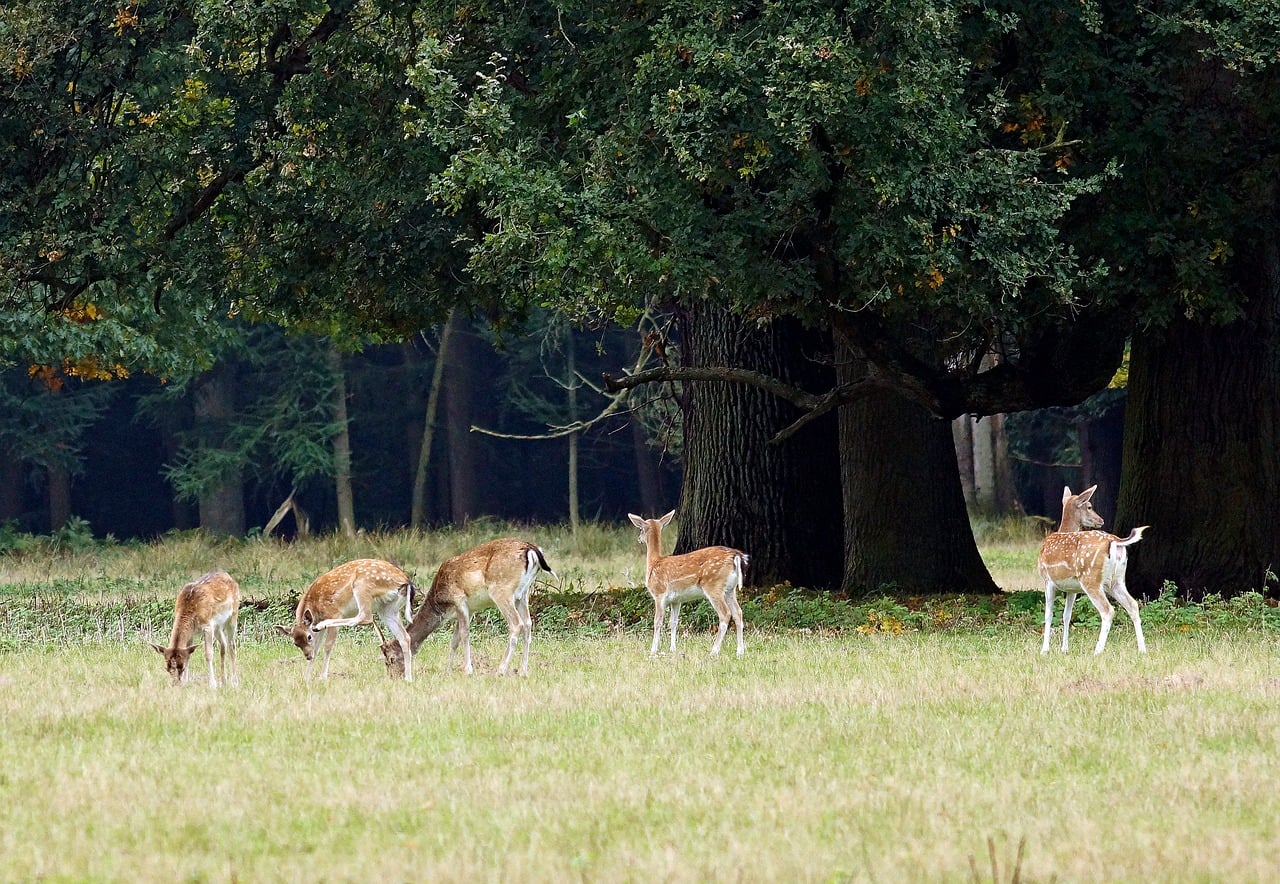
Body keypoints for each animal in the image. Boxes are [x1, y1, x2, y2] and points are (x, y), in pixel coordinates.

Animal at [275, 558, 417, 681]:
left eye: (308, 637)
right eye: (295, 643)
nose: (308, 656)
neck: (315, 607)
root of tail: (406, 581)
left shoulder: (333, 613)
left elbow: (327, 646)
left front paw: (322, 677)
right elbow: (317, 647)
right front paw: (306, 678)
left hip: (362, 587)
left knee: (365, 616)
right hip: (388, 609)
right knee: (404, 637)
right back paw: (408, 678)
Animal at [380, 538, 554, 679]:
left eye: (391, 659)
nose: (393, 677)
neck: (441, 603)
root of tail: (532, 550)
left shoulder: (459, 600)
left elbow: (464, 635)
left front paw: (468, 670)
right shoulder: (468, 609)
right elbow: (454, 640)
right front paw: (447, 671)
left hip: (502, 590)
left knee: (517, 624)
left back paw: (501, 670)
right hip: (523, 594)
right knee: (528, 624)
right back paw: (523, 671)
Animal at [628, 510, 747, 658]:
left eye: (640, 529)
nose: (639, 538)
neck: (655, 563)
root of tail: (736, 556)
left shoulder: (659, 593)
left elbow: (657, 621)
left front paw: (653, 650)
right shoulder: (676, 600)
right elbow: (673, 622)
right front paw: (672, 649)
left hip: (713, 586)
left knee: (725, 614)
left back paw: (713, 652)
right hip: (730, 589)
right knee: (738, 613)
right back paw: (740, 652)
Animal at [1038, 485, 1149, 655]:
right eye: (1089, 506)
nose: (1100, 520)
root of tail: (1115, 541)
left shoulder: (1047, 579)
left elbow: (1049, 615)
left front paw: (1044, 650)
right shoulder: (1072, 589)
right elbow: (1066, 615)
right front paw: (1064, 649)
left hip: (1090, 579)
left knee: (1108, 610)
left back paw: (1097, 651)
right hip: (1116, 581)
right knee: (1133, 605)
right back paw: (1142, 649)